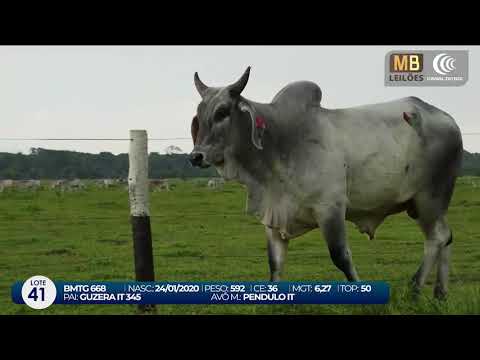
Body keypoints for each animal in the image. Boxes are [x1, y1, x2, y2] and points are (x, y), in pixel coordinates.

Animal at [189, 67, 464, 298]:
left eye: (222, 112)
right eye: (199, 115)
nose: (195, 156)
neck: (281, 141)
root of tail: (448, 119)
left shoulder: (330, 208)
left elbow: (340, 256)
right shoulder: (274, 216)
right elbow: (275, 263)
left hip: (430, 197)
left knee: (437, 238)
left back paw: (415, 289)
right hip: (423, 205)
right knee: (447, 236)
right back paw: (440, 293)